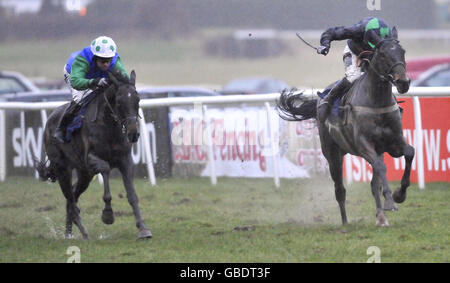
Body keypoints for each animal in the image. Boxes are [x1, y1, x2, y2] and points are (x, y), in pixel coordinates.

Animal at [35, 71, 151, 240]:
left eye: (138, 100)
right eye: (119, 102)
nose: (133, 133)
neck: (109, 126)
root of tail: (49, 121)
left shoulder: (125, 160)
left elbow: (132, 195)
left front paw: (143, 228)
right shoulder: (89, 159)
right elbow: (106, 169)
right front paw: (108, 214)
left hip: (85, 174)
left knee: (73, 197)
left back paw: (69, 233)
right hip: (63, 169)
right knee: (71, 200)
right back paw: (84, 234)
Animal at [280, 30, 414, 227]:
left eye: (402, 51)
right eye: (383, 54)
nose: (403, 82)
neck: (377, 102)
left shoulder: (393, 143)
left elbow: (409, 153)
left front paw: (399, 194)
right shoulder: (364, 146)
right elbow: (381, 168)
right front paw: (390, 201)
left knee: (374, 184)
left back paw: (381, 218)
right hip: (332, 154)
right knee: (340, 189)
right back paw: (345, 222)